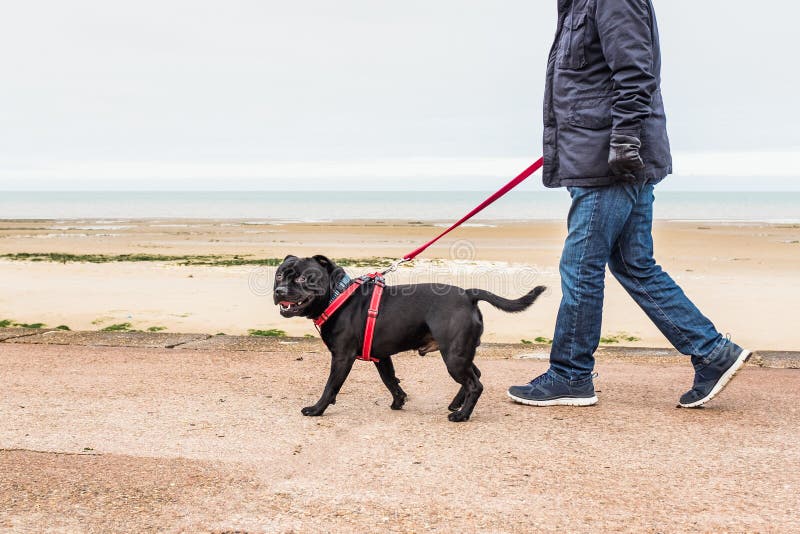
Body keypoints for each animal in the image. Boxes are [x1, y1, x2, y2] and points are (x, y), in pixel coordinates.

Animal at [274, 255, 544, 422]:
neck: (337, 296)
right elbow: (390, 380)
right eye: (278, 276)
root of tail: (468, 294)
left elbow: (331, 385)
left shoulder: (342, 358)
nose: (279, 291)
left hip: (454, 357)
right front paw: (399, 401)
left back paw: (461, 415)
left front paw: (317, 409)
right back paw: (457, 404)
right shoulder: (382, 357)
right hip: (460, 353)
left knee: (475, 384)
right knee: (474, 375)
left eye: (302, 278)